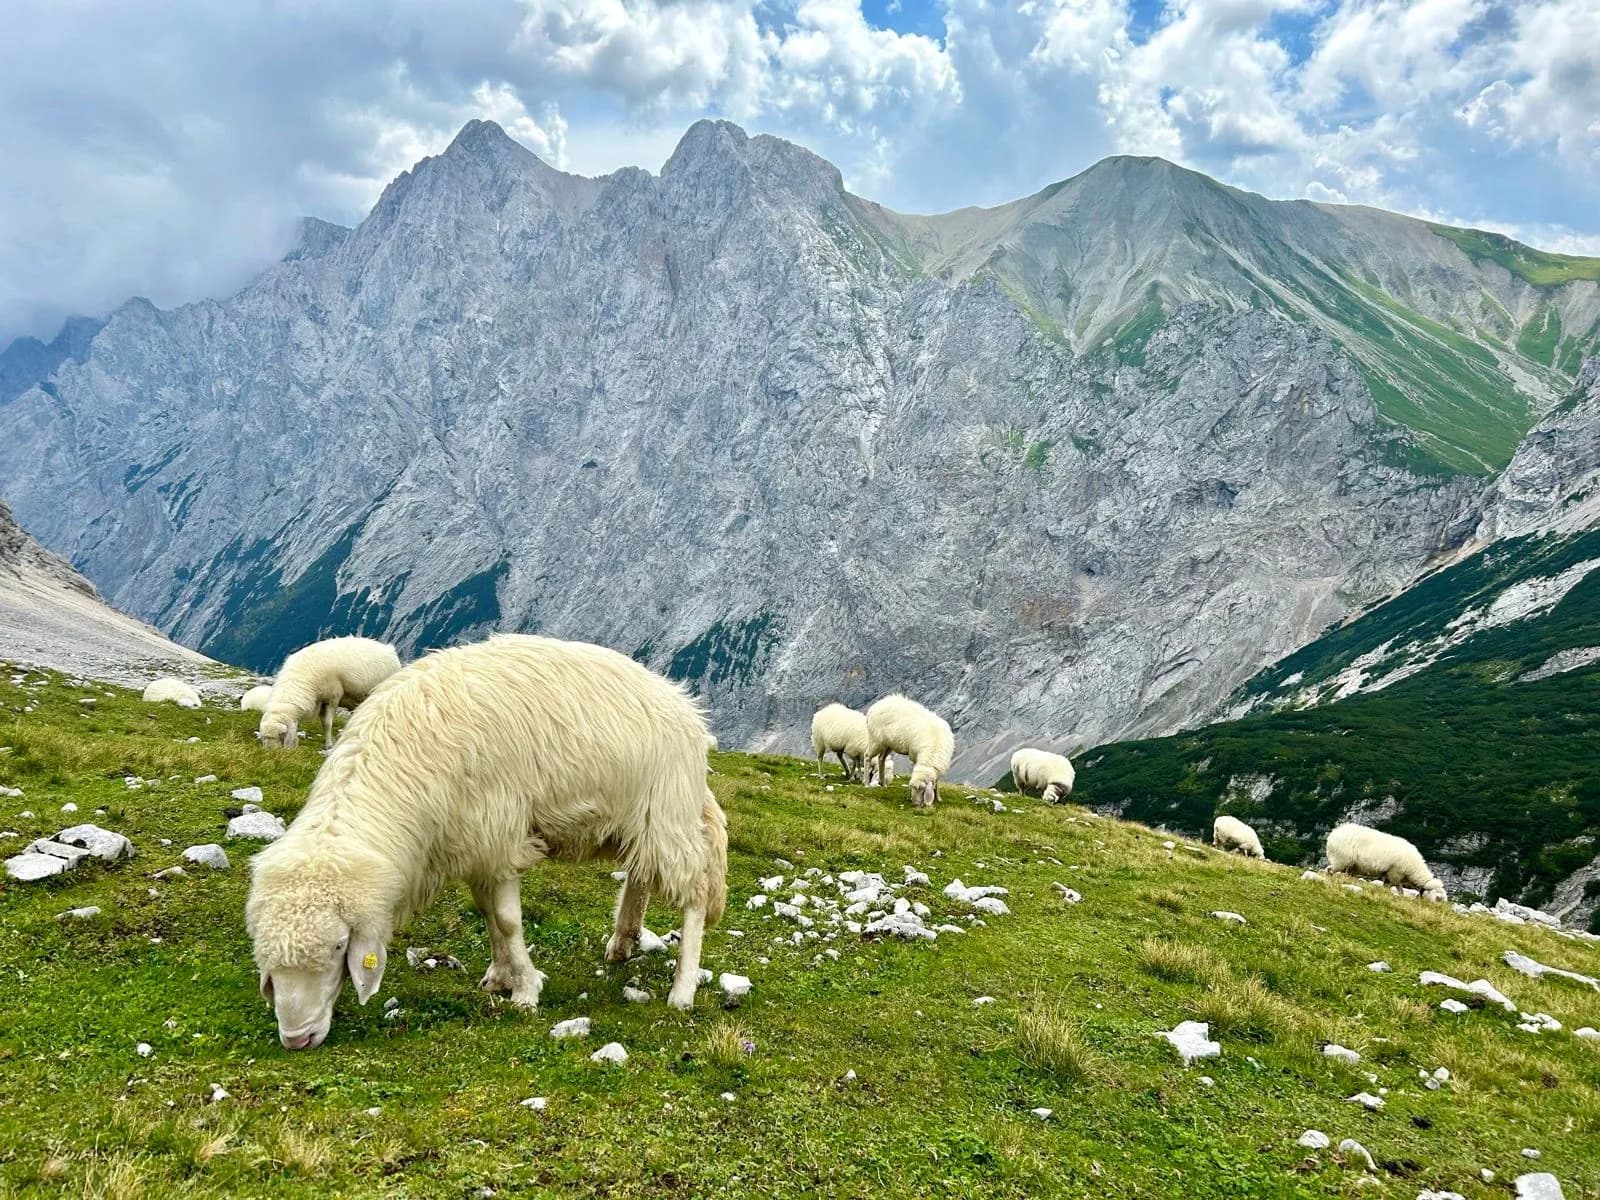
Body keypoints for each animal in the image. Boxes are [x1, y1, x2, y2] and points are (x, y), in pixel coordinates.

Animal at [257, 636, 401, 750]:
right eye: (264, 738)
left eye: (281, 736)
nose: (272, 752)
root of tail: (389, 649)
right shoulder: (320, 702)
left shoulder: (332, 697)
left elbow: (327, 723)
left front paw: (328, 745)